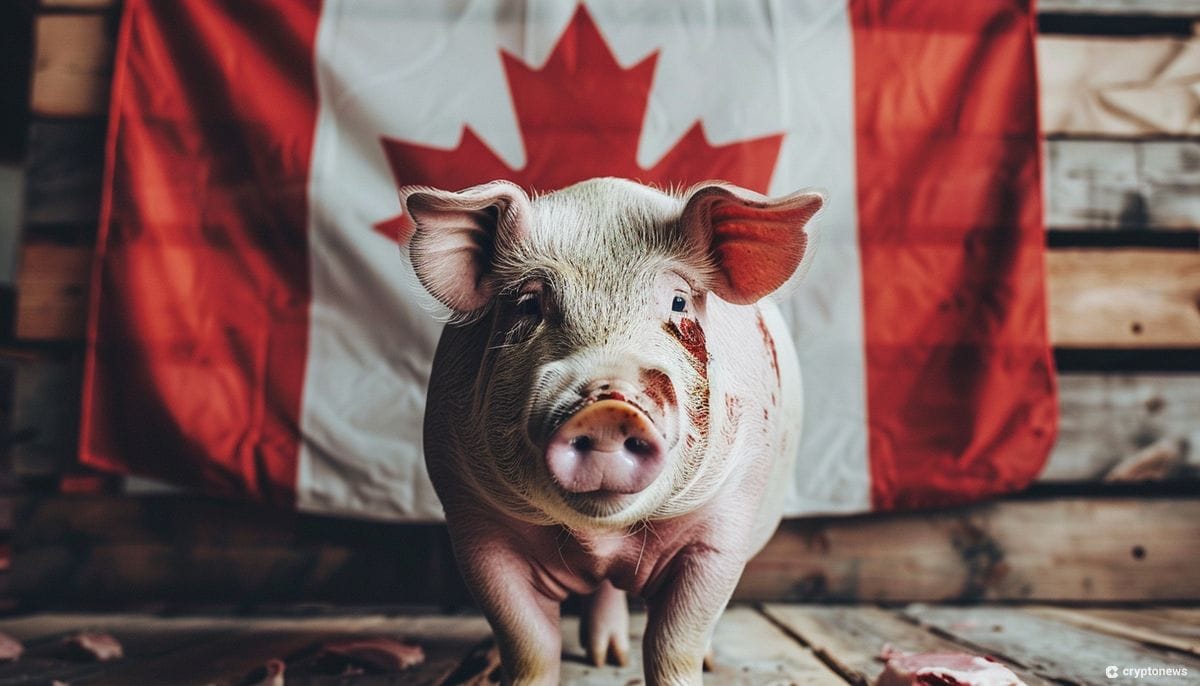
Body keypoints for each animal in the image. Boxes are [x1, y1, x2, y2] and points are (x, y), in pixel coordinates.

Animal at [401, 177, 823, 685]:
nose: (606, 405)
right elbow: (527, 643)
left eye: (679, 302)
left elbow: (674, 643)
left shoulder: (724, 519)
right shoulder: (474, 519)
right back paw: (606, 658)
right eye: (529, 305)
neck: (603, 536)